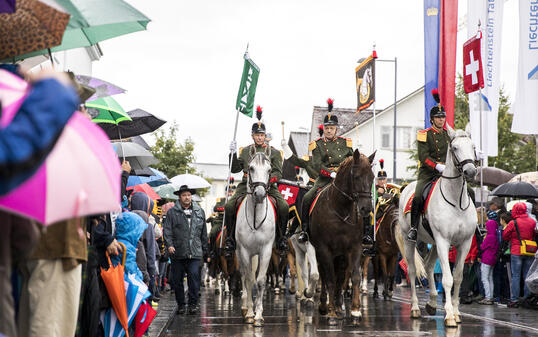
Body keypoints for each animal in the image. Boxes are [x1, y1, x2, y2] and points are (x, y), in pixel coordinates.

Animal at [308, 149, 374, 322]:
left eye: (372, 177)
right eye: (356, 176)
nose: (366, 209)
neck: (341, 210)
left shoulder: (354, 248)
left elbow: (354, 276)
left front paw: (355, 310)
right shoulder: (324, 249)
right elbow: (330, 279)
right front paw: (331, 312)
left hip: (341, 255)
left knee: (340, 276)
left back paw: (338, 306)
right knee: (324, 275)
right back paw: (325, 305)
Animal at [396, 125, 476, 326]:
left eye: (473, 146)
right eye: (454, 148)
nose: (471, 172)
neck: (456, 201)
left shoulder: (464, 243)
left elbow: (458, 277)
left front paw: (456, 312)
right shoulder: (443, 241)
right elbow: (447, 279)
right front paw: (449, 316)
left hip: (433, 242)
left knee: (429, 265)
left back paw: (432, 303)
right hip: (411, 240)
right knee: (412, 270)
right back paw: (415, 308)